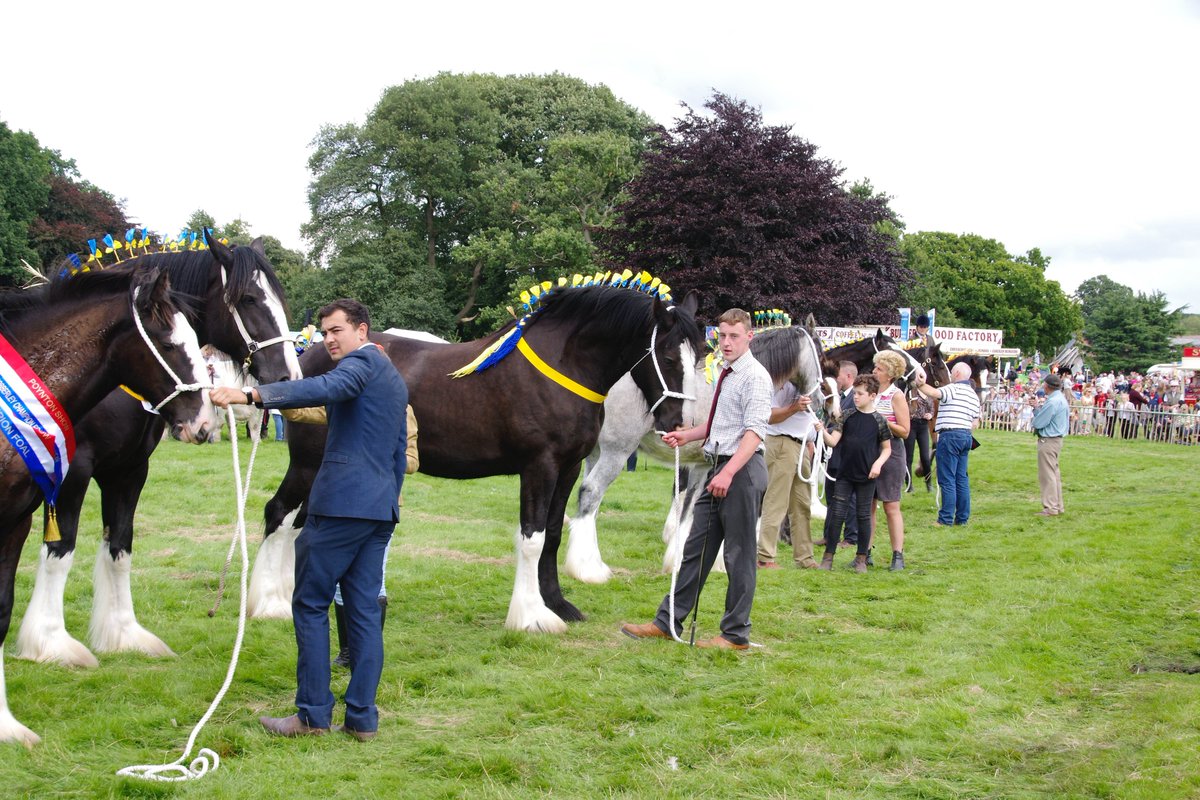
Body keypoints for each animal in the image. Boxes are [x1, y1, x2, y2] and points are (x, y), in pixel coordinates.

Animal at [14, 236, 301, 670]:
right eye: (249, 299)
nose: (289, 376)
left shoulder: (130, 470)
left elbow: (119, 547)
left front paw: (123, 635)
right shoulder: (73, 473)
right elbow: (60, 550)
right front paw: (50, 642)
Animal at [250, 284, 705, 633]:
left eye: (700, 356)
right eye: (667, 357)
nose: (678, 423)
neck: (562, 365)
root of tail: (304, 361)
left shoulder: (569, 467)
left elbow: (553, 536)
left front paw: (558, 605)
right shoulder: (539, 466)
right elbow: (532, 537)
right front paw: (531, 616)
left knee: (298, 525)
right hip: (308, 464)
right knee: (278, 513)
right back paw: (269, 603)